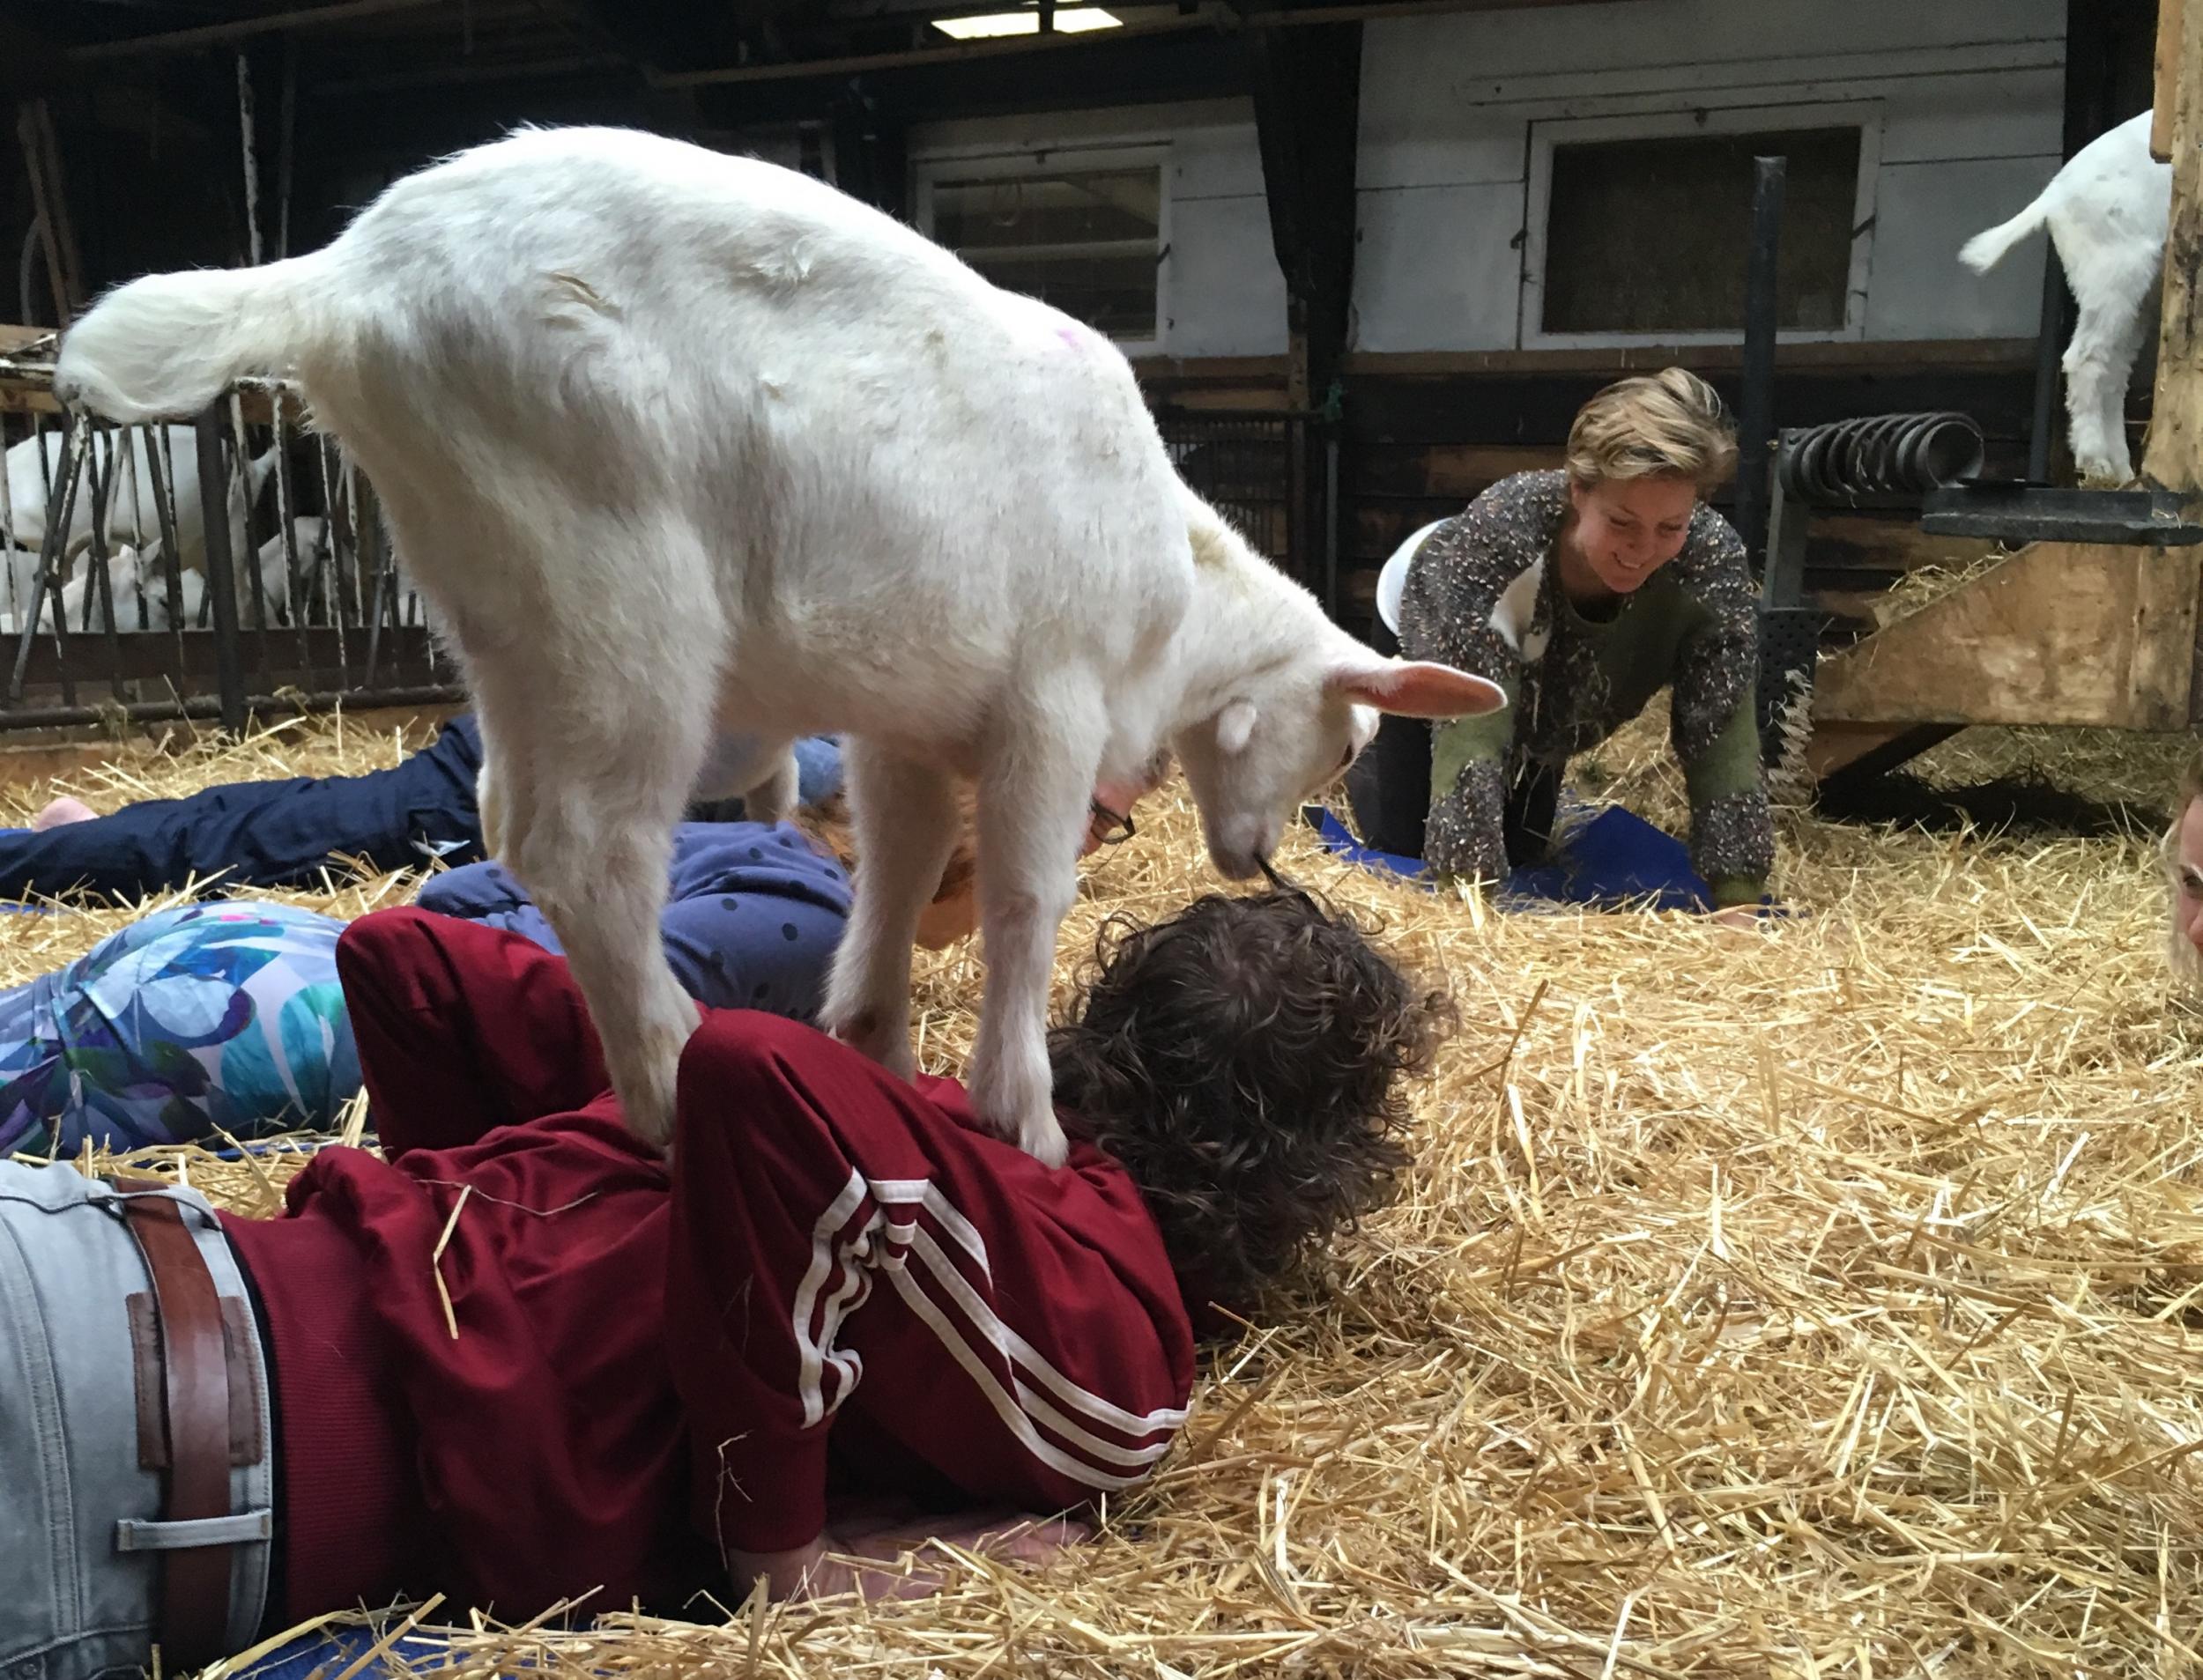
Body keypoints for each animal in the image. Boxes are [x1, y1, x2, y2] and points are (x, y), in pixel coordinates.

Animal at [56, 124, 1498, 1162]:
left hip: (509, 605)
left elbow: (900, 869)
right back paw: (666, 1077)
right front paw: (1018, 1109)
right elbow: (1027, 898)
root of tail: (341, 280)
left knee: (510, 812)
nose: (1255, 863)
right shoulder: (1052, 703)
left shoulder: (909, 722)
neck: (1176, 606)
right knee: (585, 843)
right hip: (610, 589)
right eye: (1348, 740)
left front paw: (875, 1042)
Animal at [1965, 108, 2168, 482]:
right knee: (2084, 359)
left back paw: (2121, 473)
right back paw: (2096, 462)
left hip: (2138, 295)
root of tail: (2053, 196)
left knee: (2113, 372)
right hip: (2115, 275)